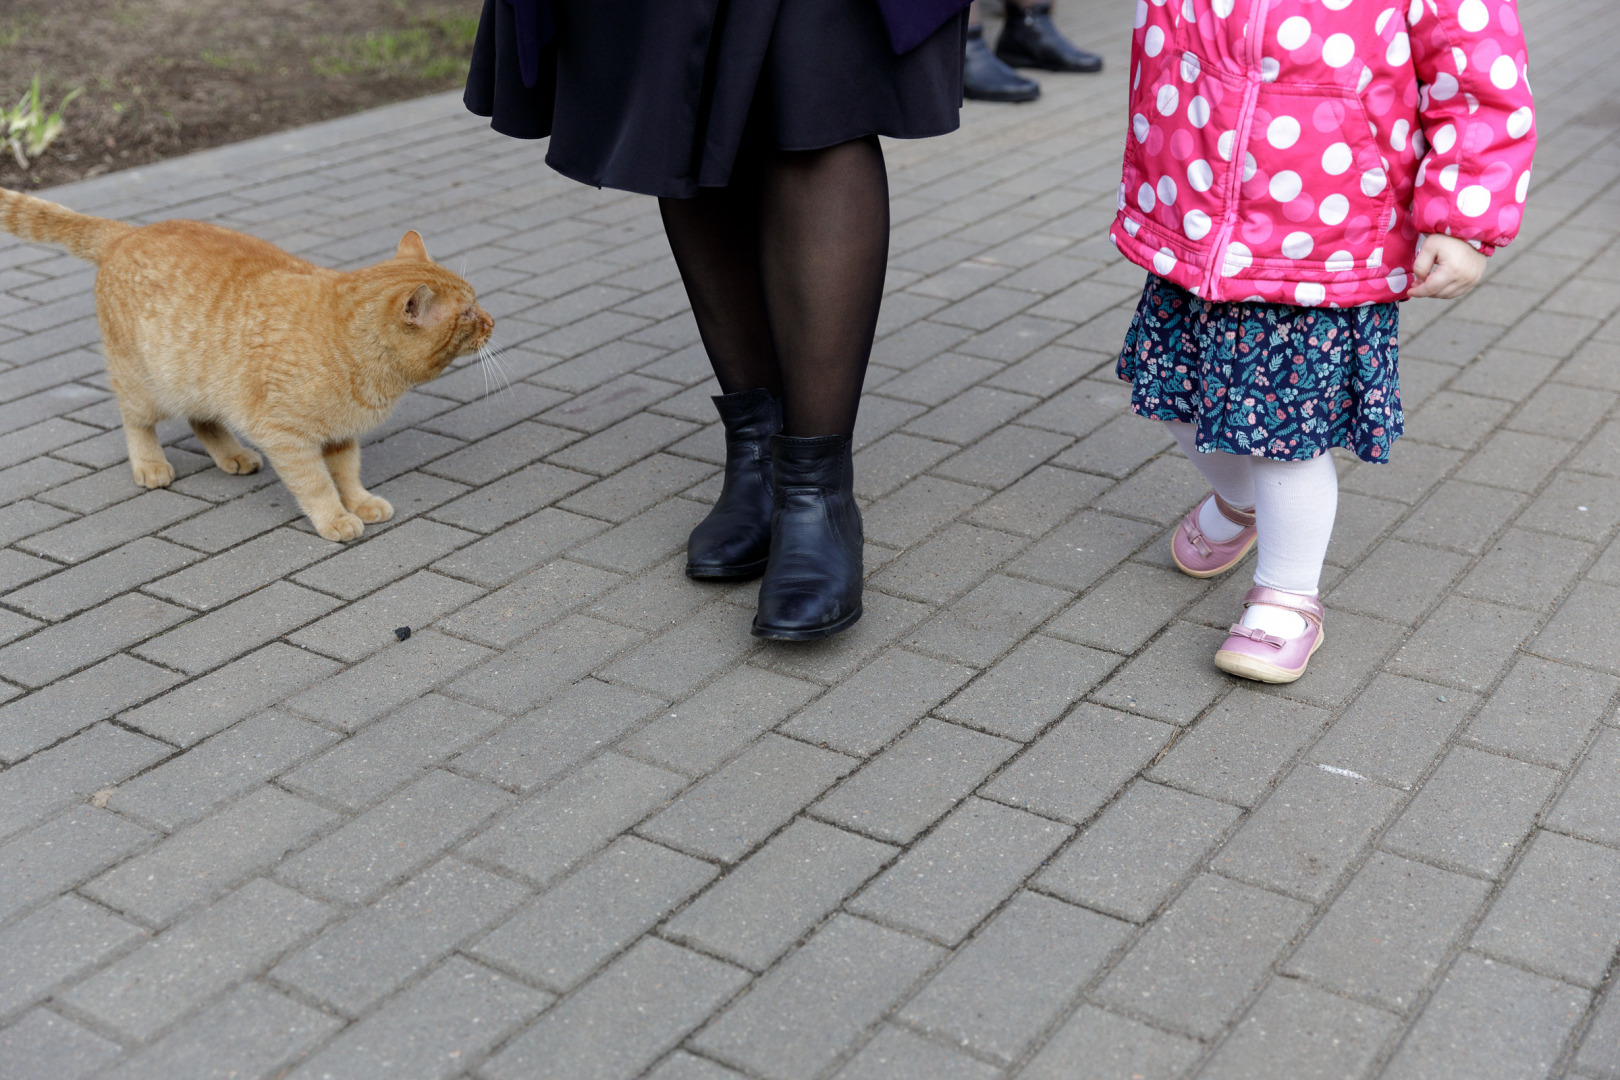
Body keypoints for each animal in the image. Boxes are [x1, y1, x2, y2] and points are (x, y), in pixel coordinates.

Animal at [1, 187, 492, 540]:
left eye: (476, 304)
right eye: (467, 313)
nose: (491, 321)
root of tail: (127, 233)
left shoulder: (340, 433)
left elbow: (347, 472)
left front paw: (359, 501)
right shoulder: (286, 436)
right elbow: (316, 483)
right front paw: (335, 518)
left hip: (204, 382)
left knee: (203, 419)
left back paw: (233, 454)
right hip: (146, 384)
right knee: (136, 420)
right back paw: (150, 464)